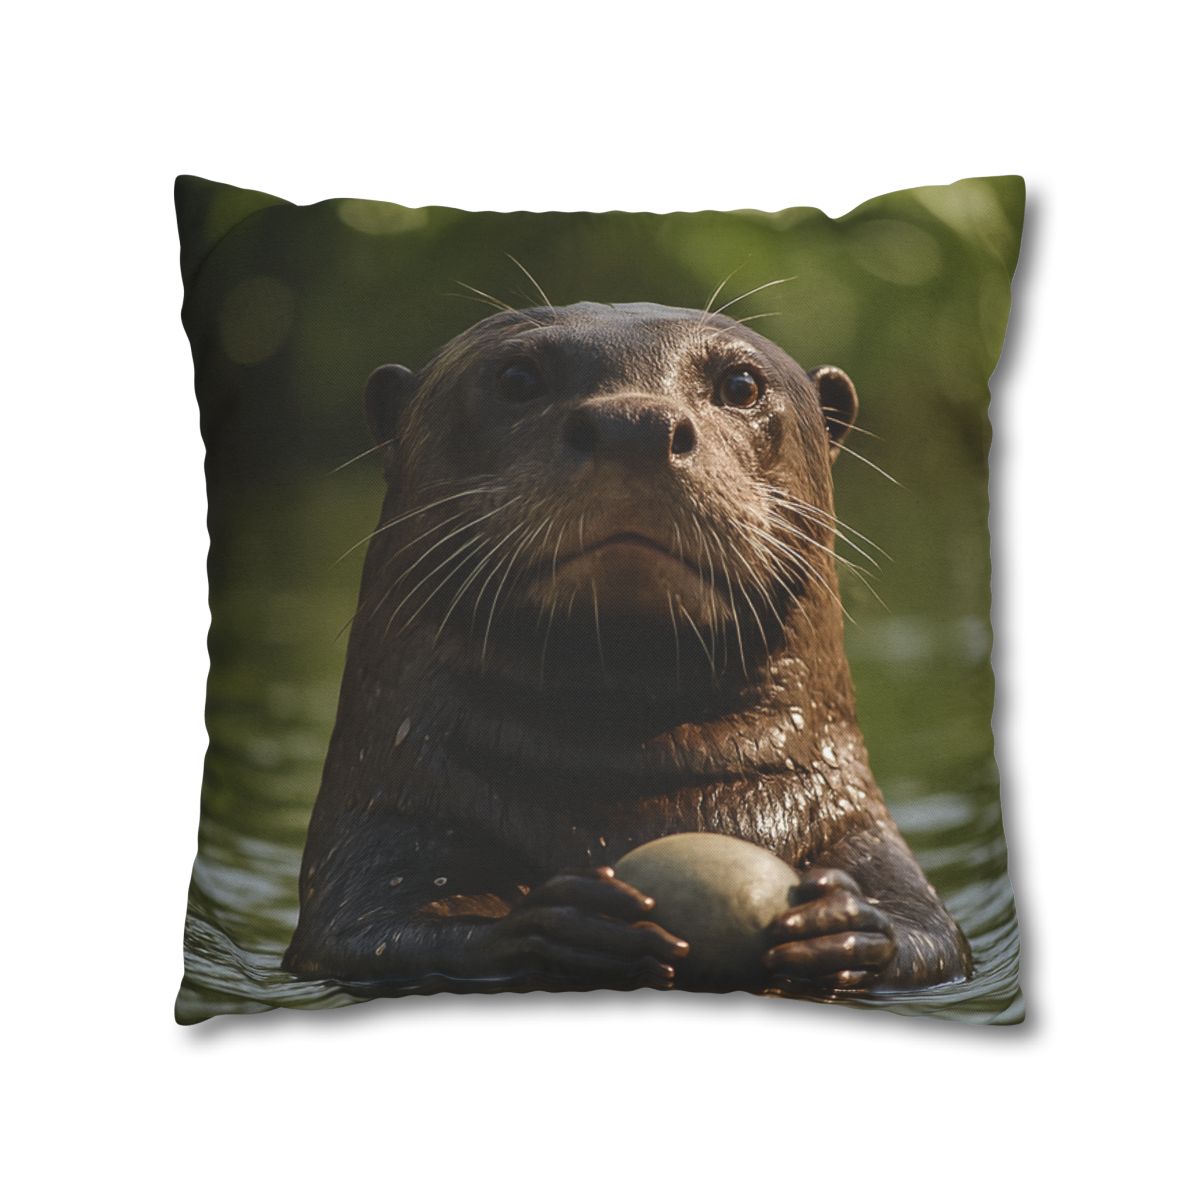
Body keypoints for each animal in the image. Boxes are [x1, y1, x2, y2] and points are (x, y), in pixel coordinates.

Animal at [283, 301, 971, 996]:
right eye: (517, 377)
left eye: (740, 385)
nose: (635, 424)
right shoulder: (381, 831)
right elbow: (373, 933)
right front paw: (567, 922)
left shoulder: (859, 830)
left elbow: (932, 937)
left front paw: (839, 923)